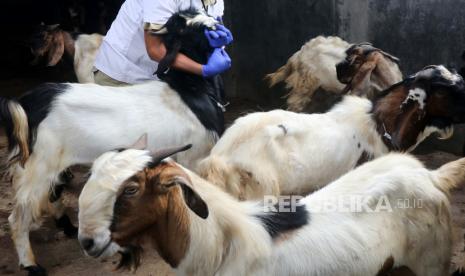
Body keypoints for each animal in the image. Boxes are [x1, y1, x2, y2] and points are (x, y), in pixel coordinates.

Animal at [0, 9, 225, 274]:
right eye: (187, 30)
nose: (216, 26)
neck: (189, 90)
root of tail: (30, 102)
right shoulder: (194, 155)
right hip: (37, 166)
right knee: (18, 217)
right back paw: (31, 264)